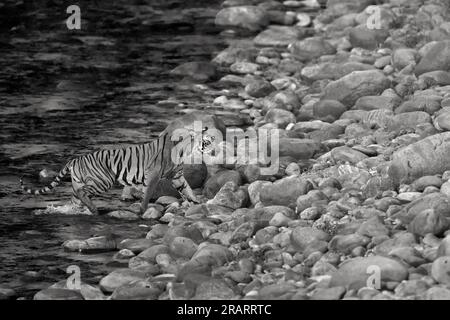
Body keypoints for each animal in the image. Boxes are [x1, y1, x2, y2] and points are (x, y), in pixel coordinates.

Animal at [20, 125, 216, 215]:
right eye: (207, 140)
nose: (216, 149)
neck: (185, 149)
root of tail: (76, 158)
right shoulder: (152, 176)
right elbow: (147, 195)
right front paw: (142, 211)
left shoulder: (177, 176)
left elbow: (188, 189)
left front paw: (197, 202)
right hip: (103, 181)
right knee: (83, 193)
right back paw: (94, 209)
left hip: (83, 182)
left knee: (75, 198)